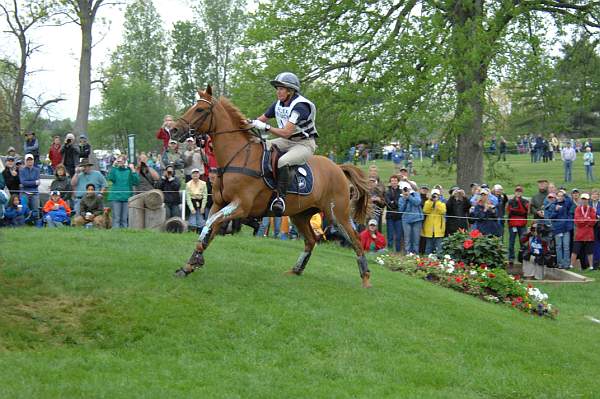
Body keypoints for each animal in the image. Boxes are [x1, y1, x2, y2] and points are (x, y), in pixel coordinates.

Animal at [171, 86, 372, 288]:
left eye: (200, 110)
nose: (173, 130)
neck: (237, 156)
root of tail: (338, 168)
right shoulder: (219, 204)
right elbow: (209, 228)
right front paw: (189, 265)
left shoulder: (241, 206)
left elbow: (210, 224)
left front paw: (195, 261)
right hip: (300, 215)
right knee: (311, 240)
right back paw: (295, 271)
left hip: (337, 214)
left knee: (355, 240)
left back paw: (366, 280)